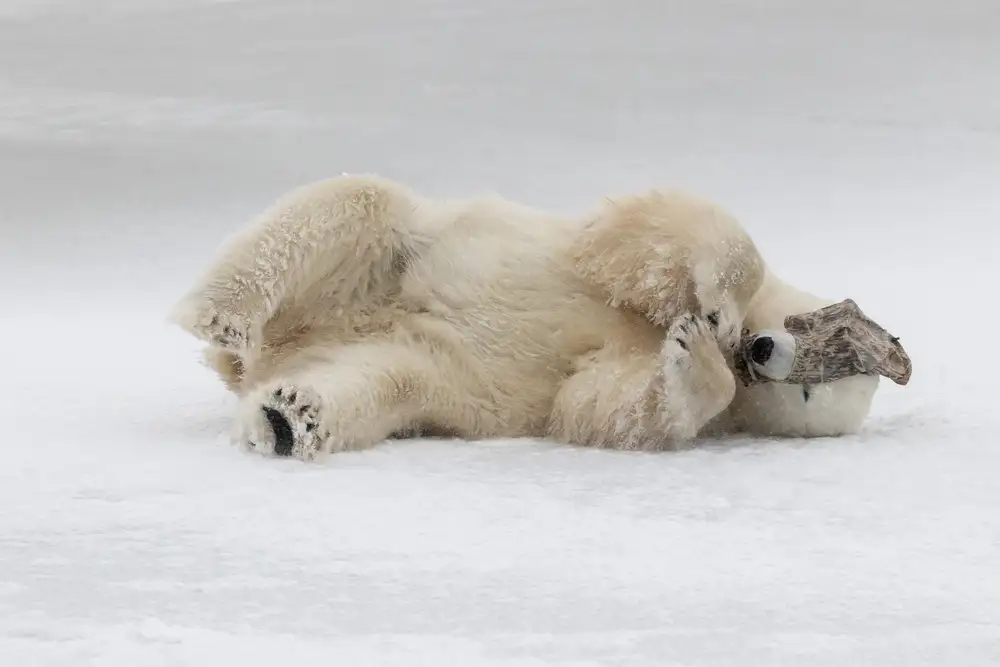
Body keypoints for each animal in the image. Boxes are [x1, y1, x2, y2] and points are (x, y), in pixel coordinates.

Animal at [169, 174, 880, 460]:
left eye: (808, 393)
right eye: (819, 340)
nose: (757, 350)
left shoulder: (611, 375)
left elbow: (604, 402)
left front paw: (694, 356)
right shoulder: (597, 253)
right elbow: (648, 234)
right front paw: (710, 311)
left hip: (418, 365)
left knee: (378, 384)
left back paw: (288, 418)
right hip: (384, 264)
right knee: (358, 205)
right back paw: (222, 317)